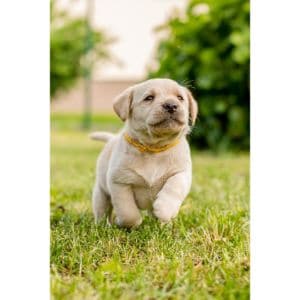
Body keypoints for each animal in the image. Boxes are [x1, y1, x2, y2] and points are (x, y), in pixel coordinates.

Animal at [90, 78, 198, 229]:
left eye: (180, 98)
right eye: (149, 98)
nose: (171, 105)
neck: (153, 148)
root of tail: (112, 138)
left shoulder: (182, 172)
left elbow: (174, 186)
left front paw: (164, 210)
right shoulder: (118, 181)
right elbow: (127, 211)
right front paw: (126, 223)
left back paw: (164, 225)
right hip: (101, 192)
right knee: (102, 209)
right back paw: (102, 225)